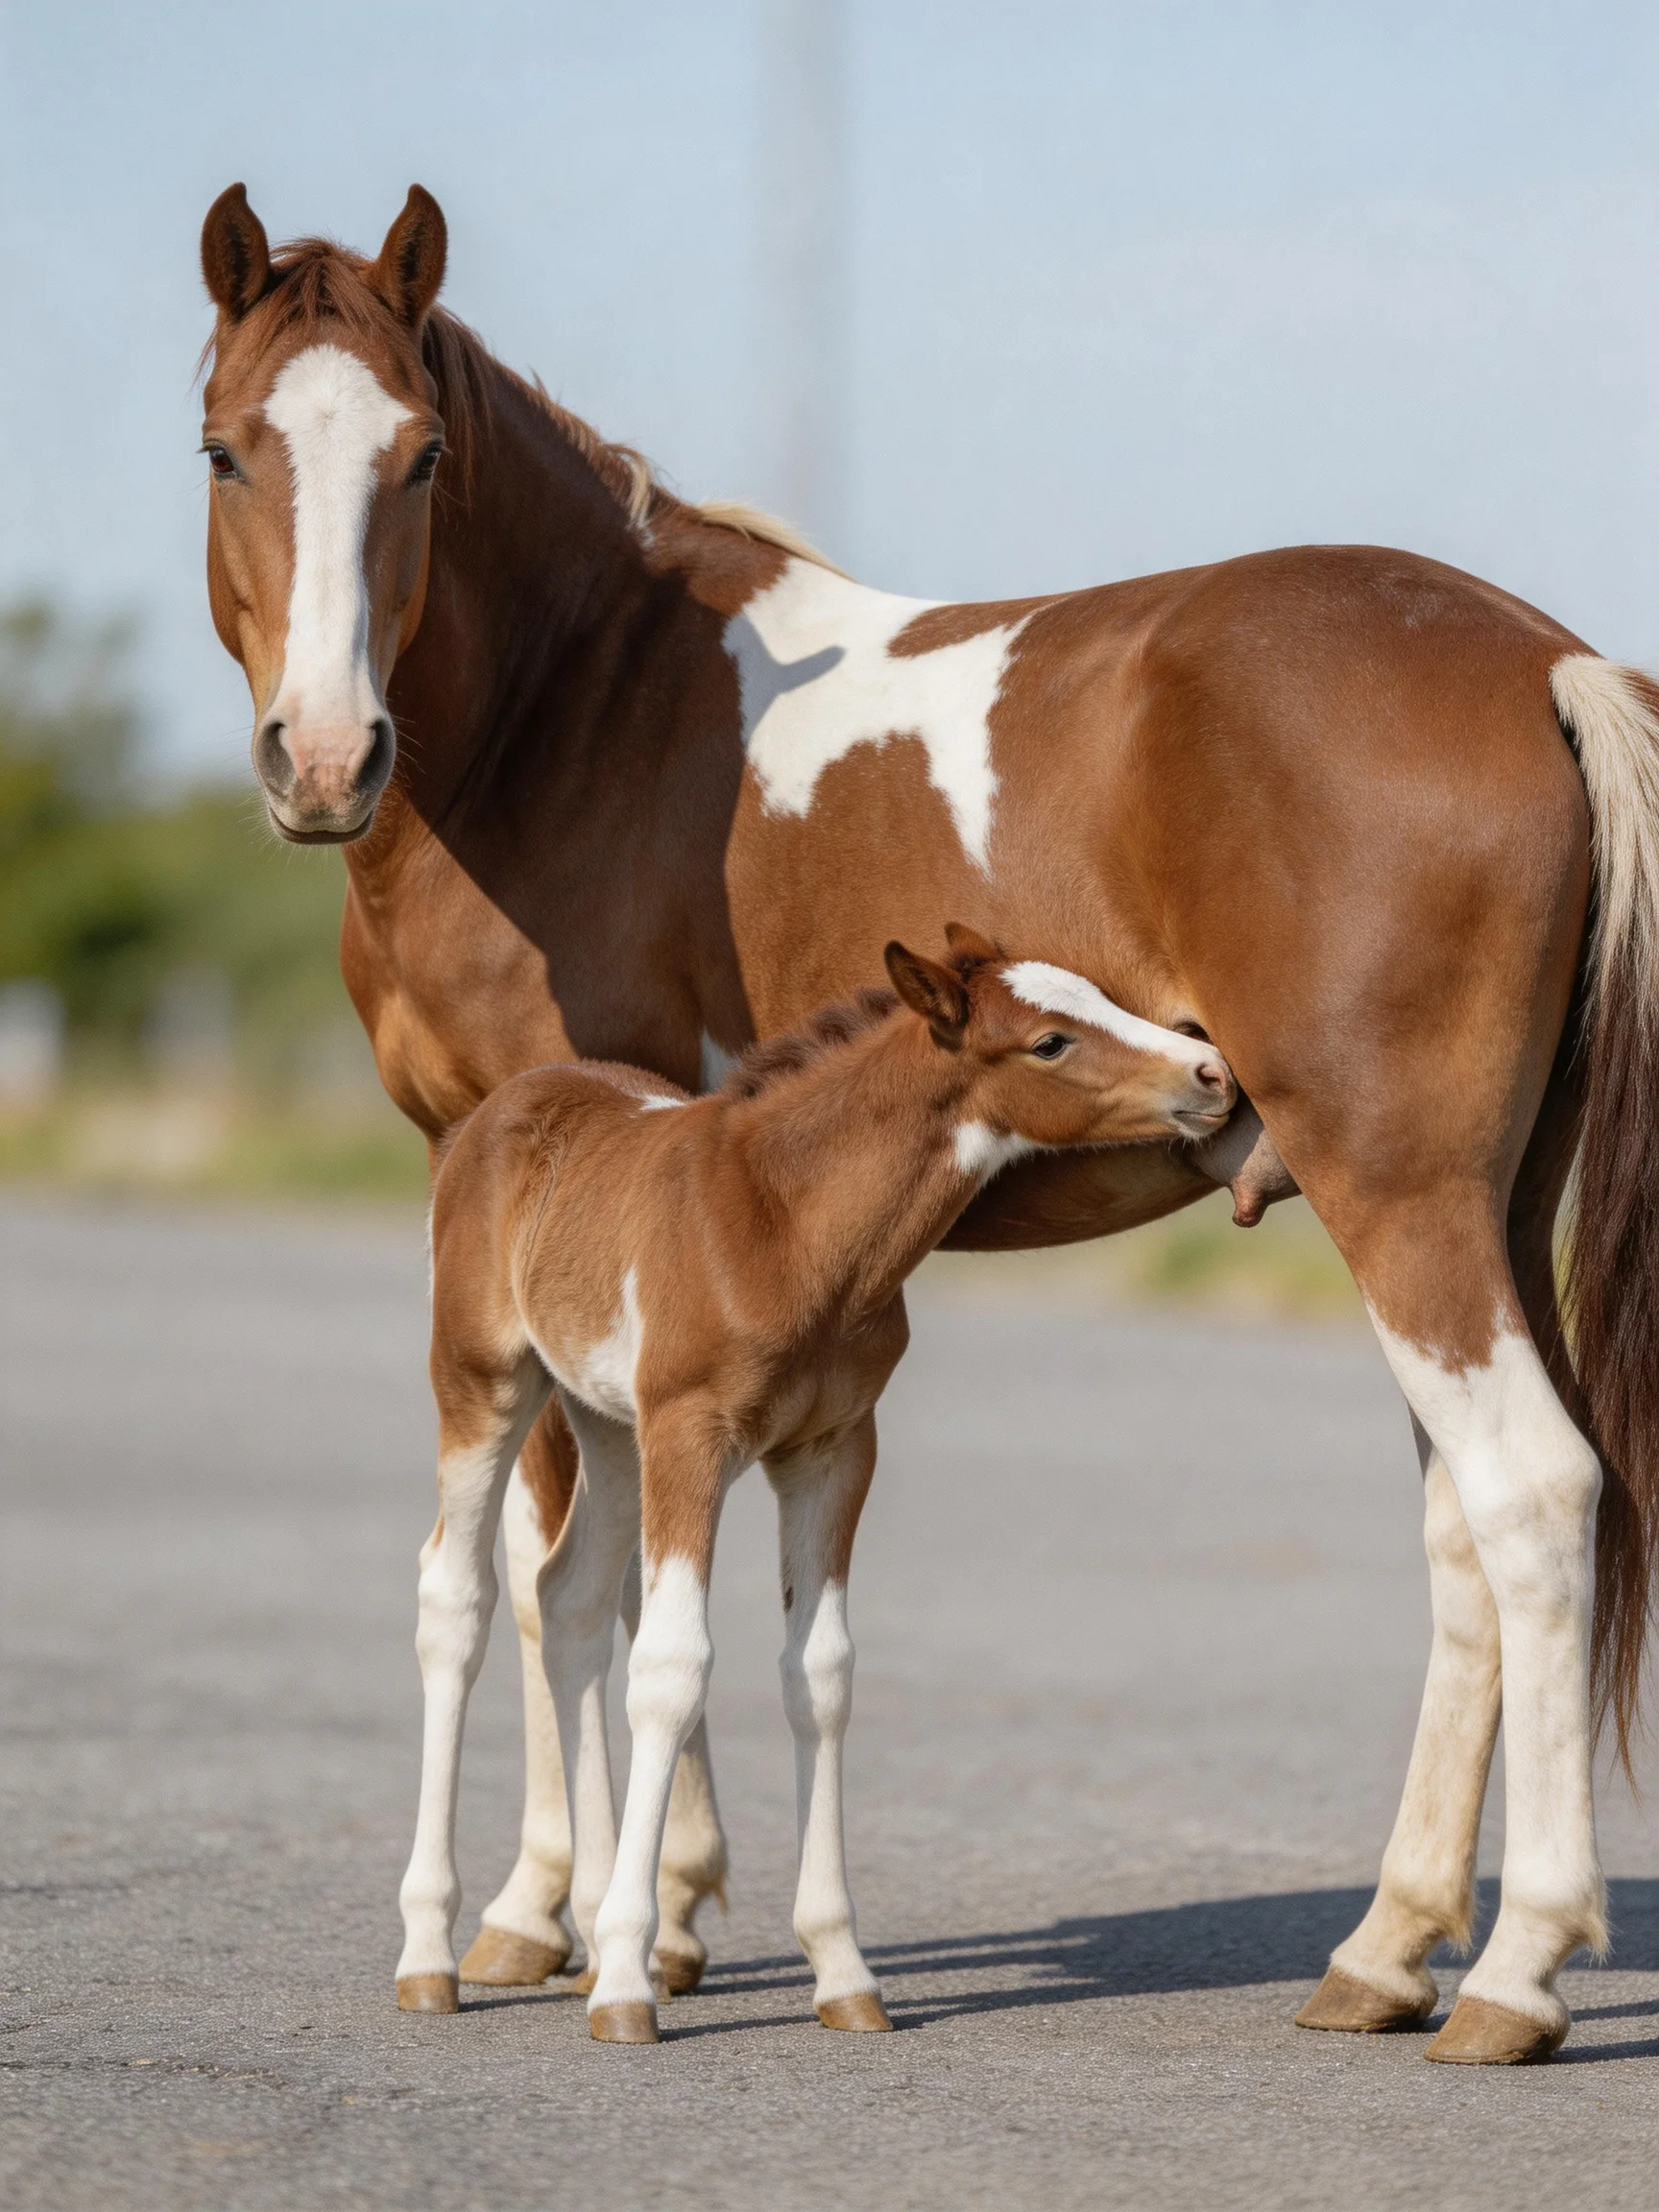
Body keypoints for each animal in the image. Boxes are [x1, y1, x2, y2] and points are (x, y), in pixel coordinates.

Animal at [402, 929, 1233, 2041]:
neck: (789, 1224)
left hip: (608, 1422)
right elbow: (672, 1667)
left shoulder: (835, 1450)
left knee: (570, 1599)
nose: (1213, 1073)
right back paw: (432, 1953)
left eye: (1100, 996)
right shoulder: (693, 1436)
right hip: (486, 1382)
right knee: (459, 1599)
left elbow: (821, 1673)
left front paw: (841, 1970)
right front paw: (626, 1984)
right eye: (1050, 1041)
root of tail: (503, 1104)